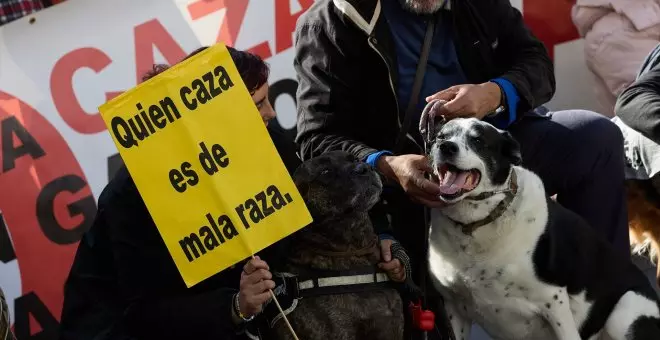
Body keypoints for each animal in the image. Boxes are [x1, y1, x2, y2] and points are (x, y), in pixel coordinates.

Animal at [420, 101, 660, 340]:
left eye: (478, 140)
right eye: (440, 137)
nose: (446, 147)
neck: (477, 226)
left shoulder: (554, 302)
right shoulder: (454, 308)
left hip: (625, 310)